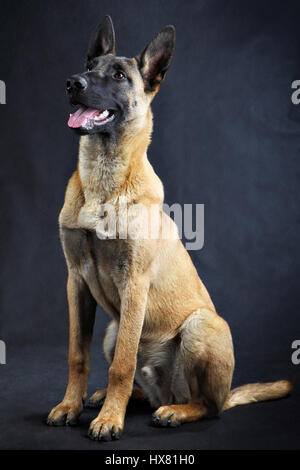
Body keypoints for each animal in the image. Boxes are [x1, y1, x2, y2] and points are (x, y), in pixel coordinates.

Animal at [45, 14, 292, 440]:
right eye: (90, 67)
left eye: (118, 75)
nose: (72, 83)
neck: (104, 180)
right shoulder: (76, 281)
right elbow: (78, 354)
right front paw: (70, 406)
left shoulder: (134, 284)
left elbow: (122, 365)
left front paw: (110, 420)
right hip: (113, 330)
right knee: (148, 388)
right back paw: (122, 398)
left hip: (199, 326)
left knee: (206, 405)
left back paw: (175, 411)